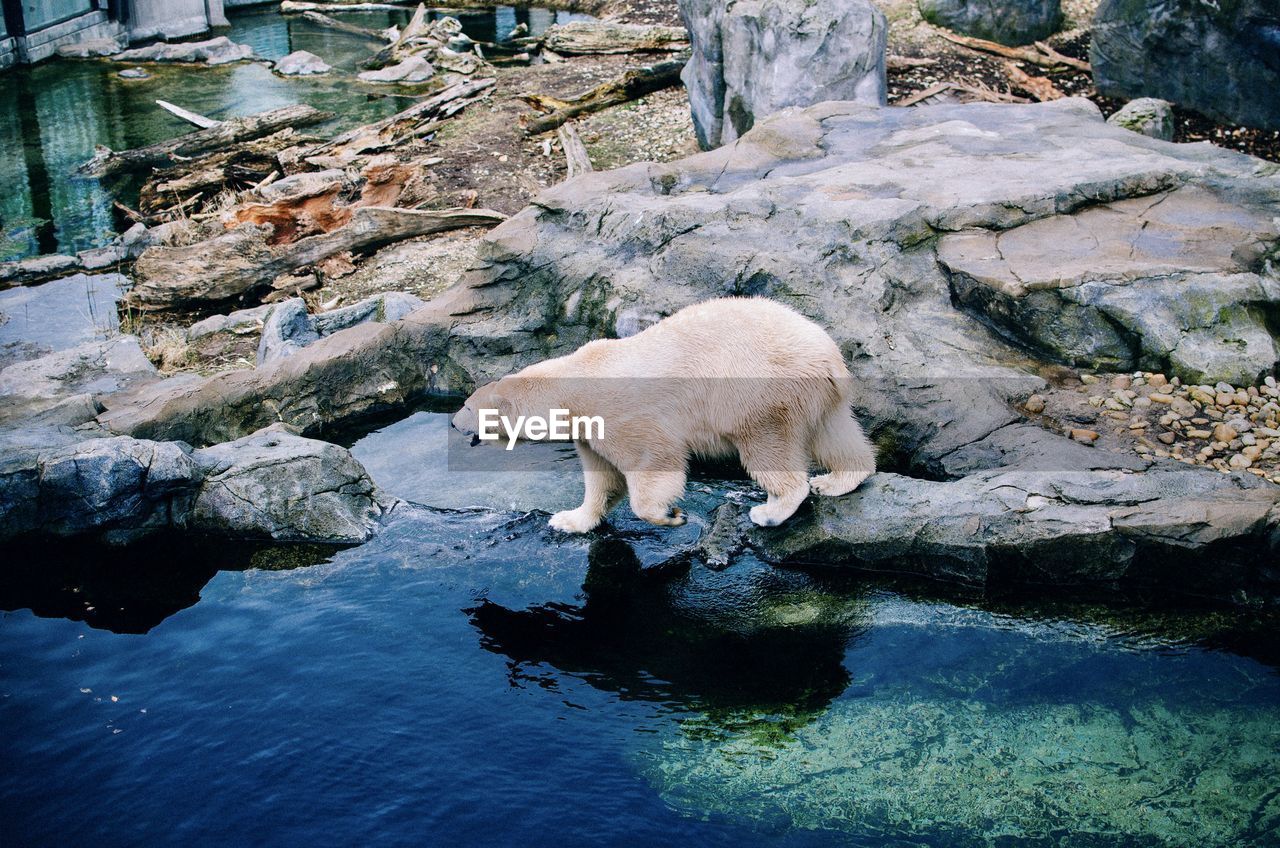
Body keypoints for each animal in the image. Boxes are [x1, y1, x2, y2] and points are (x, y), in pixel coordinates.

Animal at [445, 298, 875, 535]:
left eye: (467, 406)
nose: (451, 422)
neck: (573, 381)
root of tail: (827, 354)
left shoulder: (618, 414)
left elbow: (653, 461)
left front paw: (671, 515)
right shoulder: (589, 429)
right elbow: (602, 479)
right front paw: (568, 520)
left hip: (759, 392)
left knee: (767, 446)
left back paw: (770, 511)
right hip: (817, 394)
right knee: (834, 433)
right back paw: (837, 480)